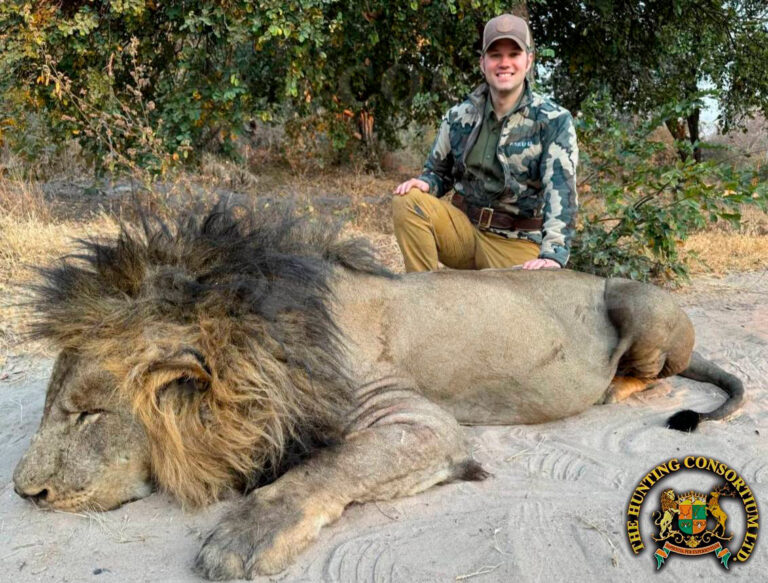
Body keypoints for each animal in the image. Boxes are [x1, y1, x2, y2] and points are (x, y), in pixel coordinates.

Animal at [13, 204, 744, 580]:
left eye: (88, 414)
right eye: (54, 408)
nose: (25, 493)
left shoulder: (418, 421)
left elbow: (327, 467)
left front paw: (244, 538)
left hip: (635, 301)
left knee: (651, 371)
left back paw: (615, 390)